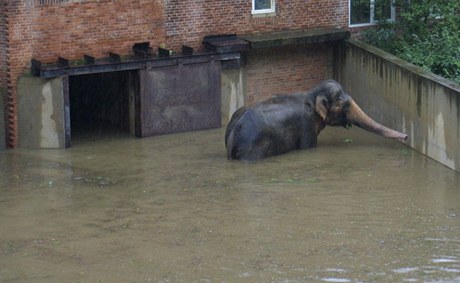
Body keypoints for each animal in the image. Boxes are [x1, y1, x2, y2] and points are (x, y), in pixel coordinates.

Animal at [225, 80, 408, 161]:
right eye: (344, 105)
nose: (406, 137)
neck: (312, 93)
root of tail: (233, 134)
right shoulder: (307, 125)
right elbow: (308, 147)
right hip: (253, 148)